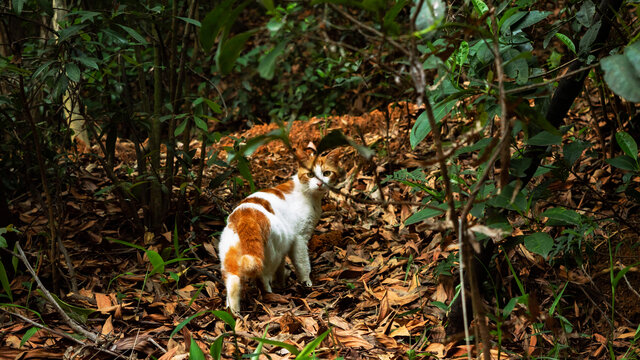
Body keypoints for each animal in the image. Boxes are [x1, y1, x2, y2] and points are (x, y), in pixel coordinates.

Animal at [219, 150, 342, 314]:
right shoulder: (299, 239)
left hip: (232, 258)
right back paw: (271, 296)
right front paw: (306, 283)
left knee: (232, 283)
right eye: (310, 174)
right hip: (273, 253)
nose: (320, 183)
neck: (308, 194)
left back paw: (234, 313)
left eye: (326, 173)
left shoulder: (286, 247)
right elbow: (303, 265)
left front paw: (282, 283)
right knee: (263, 277)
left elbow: (281, 270)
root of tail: (245, 213)